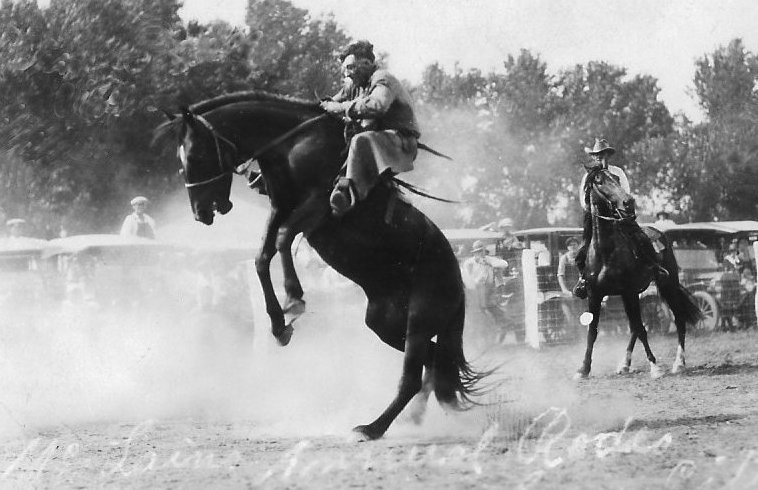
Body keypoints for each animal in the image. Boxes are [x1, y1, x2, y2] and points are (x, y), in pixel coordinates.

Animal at [156, 91, 486, 440]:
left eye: (196, 155)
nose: (200, 213)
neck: (293, 143)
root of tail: (459, 281)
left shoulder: (318, 206)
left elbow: (282, 240)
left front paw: (294, 299)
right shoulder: (280, 208)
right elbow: (262, 257)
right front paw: (279, 325)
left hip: (418, 322)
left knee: (413, 375)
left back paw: (372, 428)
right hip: (385, 323)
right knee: (435, 362)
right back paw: (411, 417)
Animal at [580, 165, 704, 378]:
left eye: (616, 179)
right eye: (599, 181)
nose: (628, 202)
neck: (605, 251)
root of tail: (660, 232)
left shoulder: (629, 291)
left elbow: (641, 328)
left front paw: (655, 367)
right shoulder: (595, 295)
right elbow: (592, 332)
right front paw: (583, 369)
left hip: (667, 285)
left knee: (678, 319)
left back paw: (679, 363)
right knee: (634, 328)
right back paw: (624, 364)